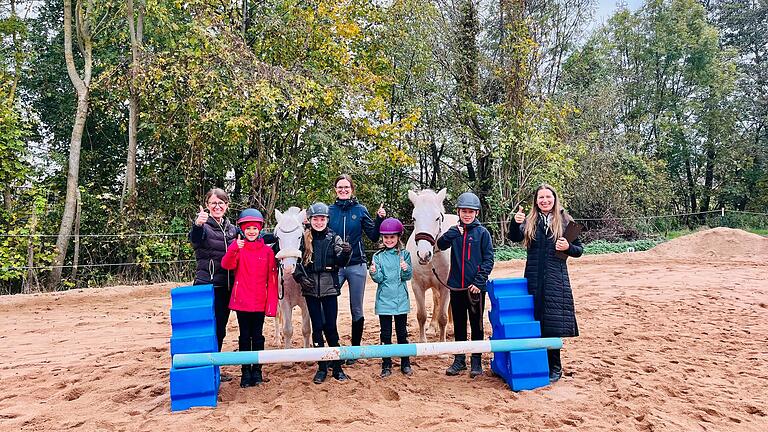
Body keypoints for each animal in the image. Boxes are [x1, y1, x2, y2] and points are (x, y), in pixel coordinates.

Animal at [272, 206, 310, 348]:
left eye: (299, 237)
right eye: (278, 237)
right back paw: (278, 340)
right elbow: (288, 330)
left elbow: (306, 329)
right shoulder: (284, 301)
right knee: (278, 316)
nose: (288, 268)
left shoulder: (307, 303)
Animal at [404, 187, 460, 342]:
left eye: (437, 218)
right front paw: (423, 341)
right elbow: (421, 315)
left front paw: (442, 343)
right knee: (436, 300)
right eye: (414, 218)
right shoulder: (417, 285)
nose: (424, 254)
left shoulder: (445, 287)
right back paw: (432, 327)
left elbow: (443, 317)